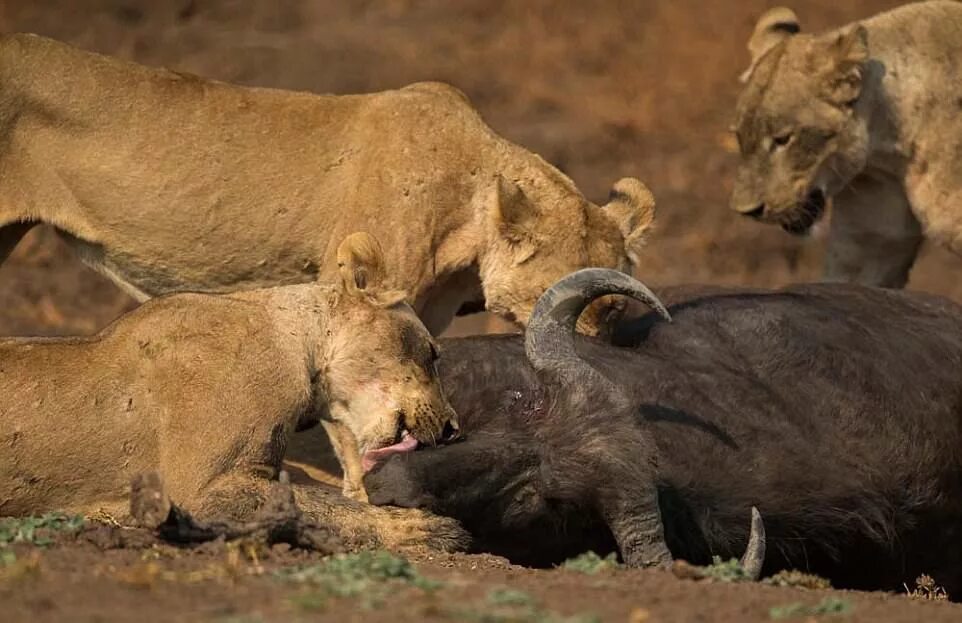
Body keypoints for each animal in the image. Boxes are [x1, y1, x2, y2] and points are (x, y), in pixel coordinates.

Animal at [0, 234, 462, 536]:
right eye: (432, 354)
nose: (453, 428)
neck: (298, 346)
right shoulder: (195, 490)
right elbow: (317, 503)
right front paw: (421, 531)